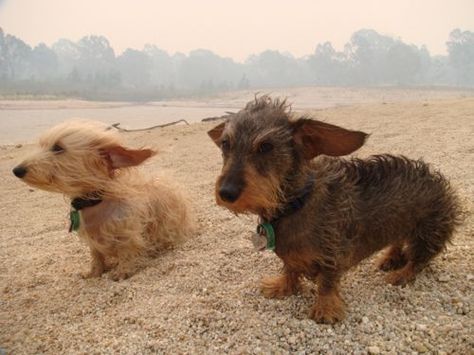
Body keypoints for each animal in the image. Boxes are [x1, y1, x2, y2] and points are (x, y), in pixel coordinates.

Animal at [13, 121, 194, 282]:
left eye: (58, 148)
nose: (16, 170)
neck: (95, 202)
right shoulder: (93, 242)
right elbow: (96, 257)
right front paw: (94, 273)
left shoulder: (127, 234)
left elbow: (126, 253)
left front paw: (122, 272)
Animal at [207, 96, 460, 324]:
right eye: (225, 144)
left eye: (266, 146)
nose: (226, 193)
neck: (296, 204)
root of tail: (437, 180)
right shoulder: (291, 256)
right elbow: (289, 269)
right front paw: (283, 286)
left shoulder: (334, 254)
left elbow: (327, 283)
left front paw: (326, 308)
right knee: (398, 242)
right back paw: (389, 258)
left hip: (428, 233)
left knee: (418, 261)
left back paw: (400, 274)